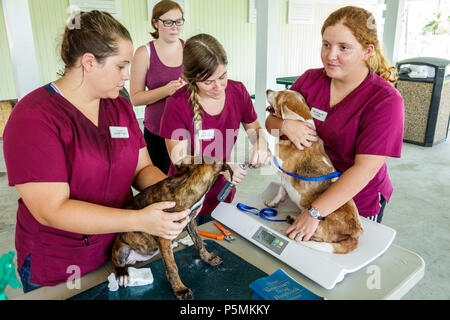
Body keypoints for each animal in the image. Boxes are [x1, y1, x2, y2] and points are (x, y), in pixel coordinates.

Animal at [111, 156, 234, 300]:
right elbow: (172, 266)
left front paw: (208, 258)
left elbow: (199, 241)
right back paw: (122, 274)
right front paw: (180, 289)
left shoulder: (190, 221)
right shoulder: (164, 234)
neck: (187, 182)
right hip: (121, 248)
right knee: (116, 262)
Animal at [266, 89, 364, 254]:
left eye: (278, 95)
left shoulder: (279, 165)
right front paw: (274, 202)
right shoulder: (284, 180)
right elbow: (281, 191)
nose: (268, 90)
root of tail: (355, 235)